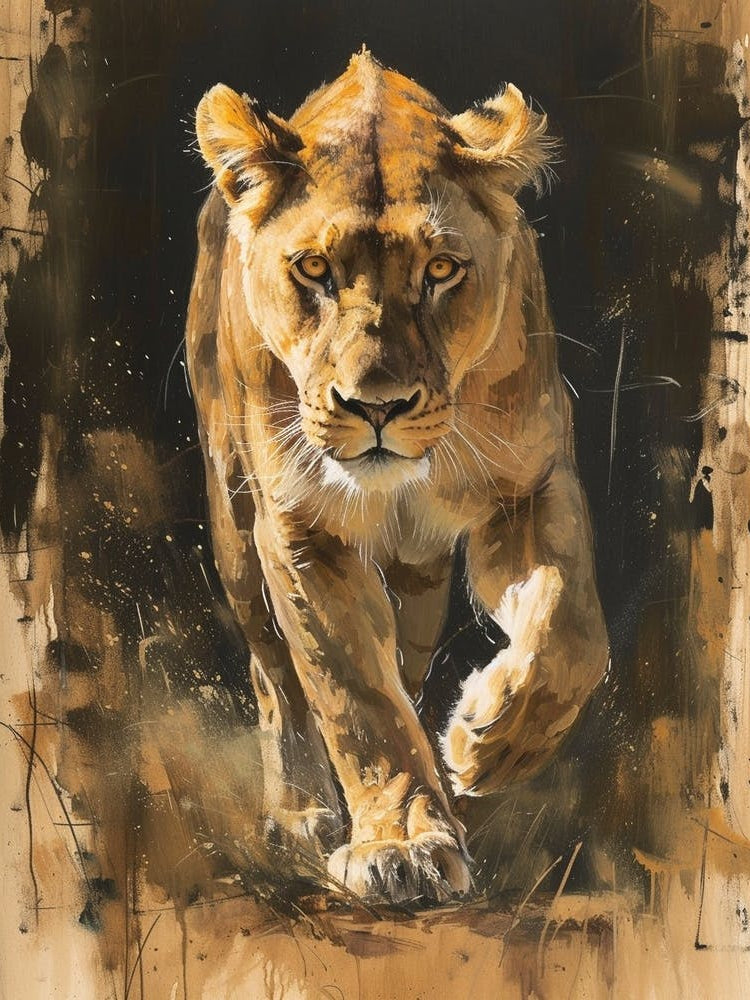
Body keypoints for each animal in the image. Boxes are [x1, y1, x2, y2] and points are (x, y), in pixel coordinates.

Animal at [186, 49, 608, 906]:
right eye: (314, 268)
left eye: (441, 268)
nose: (375, 405)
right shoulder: (298, 526)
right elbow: (353, 694)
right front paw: (403, 842)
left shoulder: (530, 487)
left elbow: (573, 629)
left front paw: (489, 743)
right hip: (235, 527)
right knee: (274, 675)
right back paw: (301, 812)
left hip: (418, 577)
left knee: (408, 651)